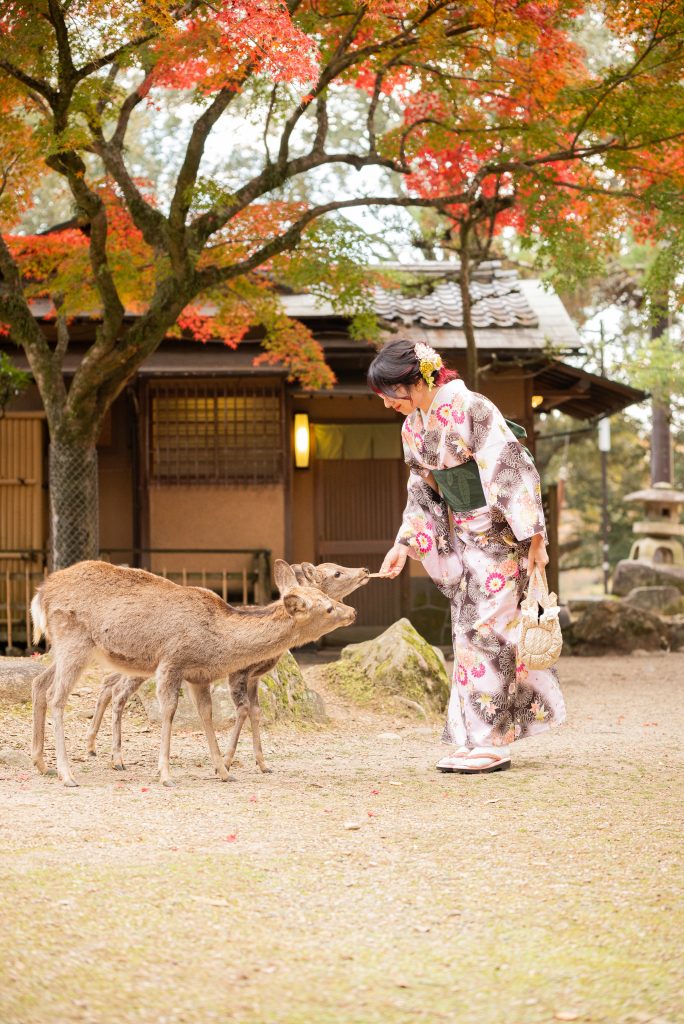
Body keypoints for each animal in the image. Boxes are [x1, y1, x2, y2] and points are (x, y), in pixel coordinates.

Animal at [30, 559, 357, 788]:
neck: (217, 644)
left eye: (329, 599)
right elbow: (169, 711)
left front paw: (224, 771)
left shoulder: (200, 677)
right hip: (74, 641)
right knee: (58, 695)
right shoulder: (171, 661)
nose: (352, 612)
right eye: (328, 608)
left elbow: (207, 716)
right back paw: (67, 773)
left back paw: (42, 763)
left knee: (39, 682)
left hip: (67, 648)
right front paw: (165, 774)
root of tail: (40, 595)